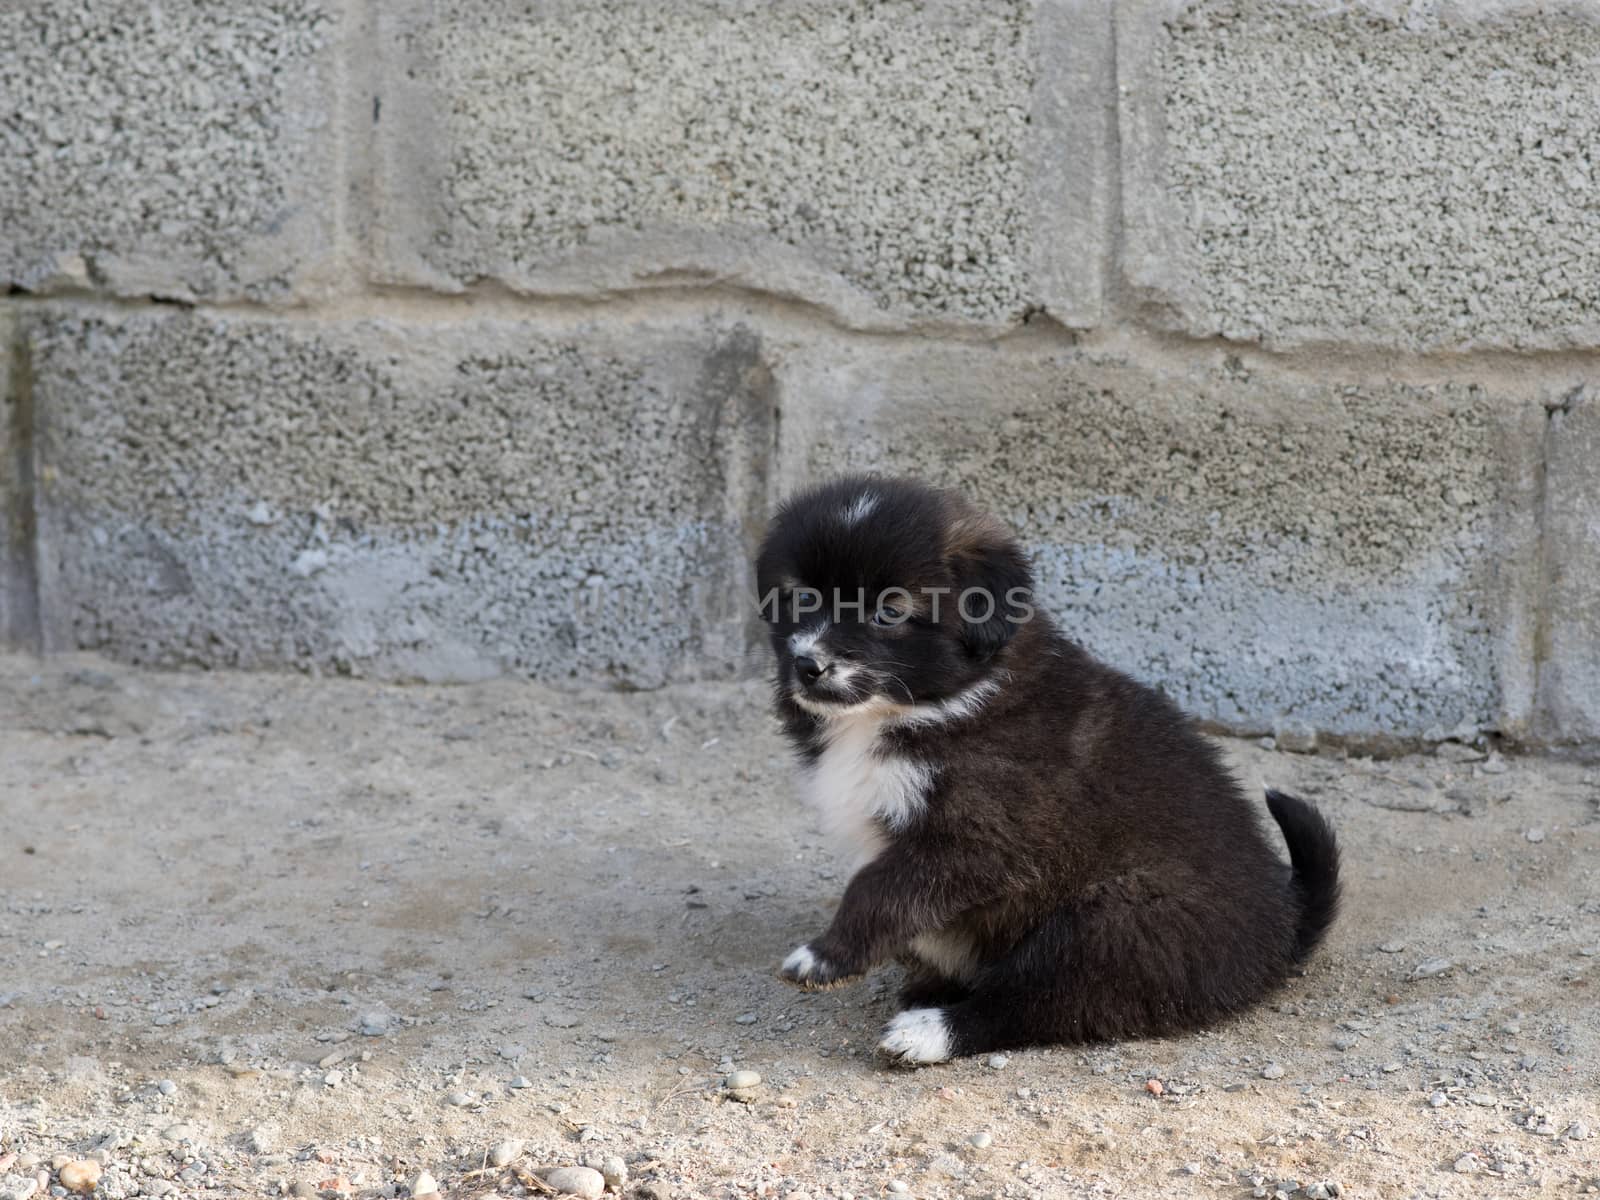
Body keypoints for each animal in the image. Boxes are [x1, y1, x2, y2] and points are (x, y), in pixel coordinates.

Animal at [755, 473, 1344, 1068]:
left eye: (889, 612)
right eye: (802, 597)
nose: (808, 665)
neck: (923, 709)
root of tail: (1283, 928)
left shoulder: (979, 837)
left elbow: (878, 888)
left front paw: (824, 957)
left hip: (1112, 923)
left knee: (1039, 1000)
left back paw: (930, 1031)